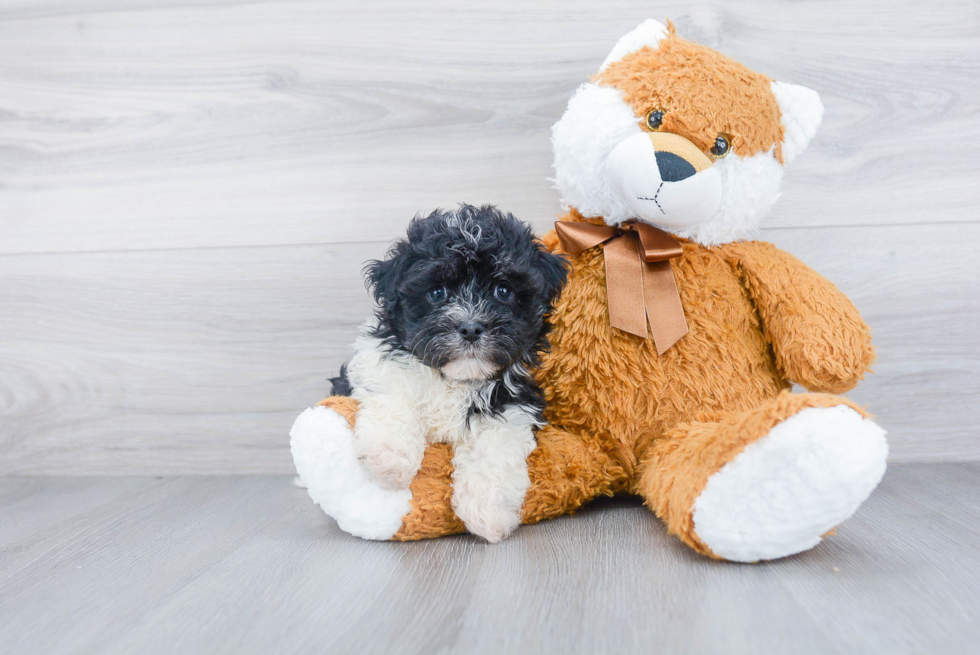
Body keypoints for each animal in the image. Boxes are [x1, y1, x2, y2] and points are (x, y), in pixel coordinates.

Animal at [330, 205, 568, 544]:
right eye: (437, 292)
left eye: (503, 290)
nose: (470, 327)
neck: (454, 378)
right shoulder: (379, 364)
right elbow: (393, 394)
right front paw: (388, 460)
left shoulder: (513, 402)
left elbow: (494, 448)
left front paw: (488, 513)